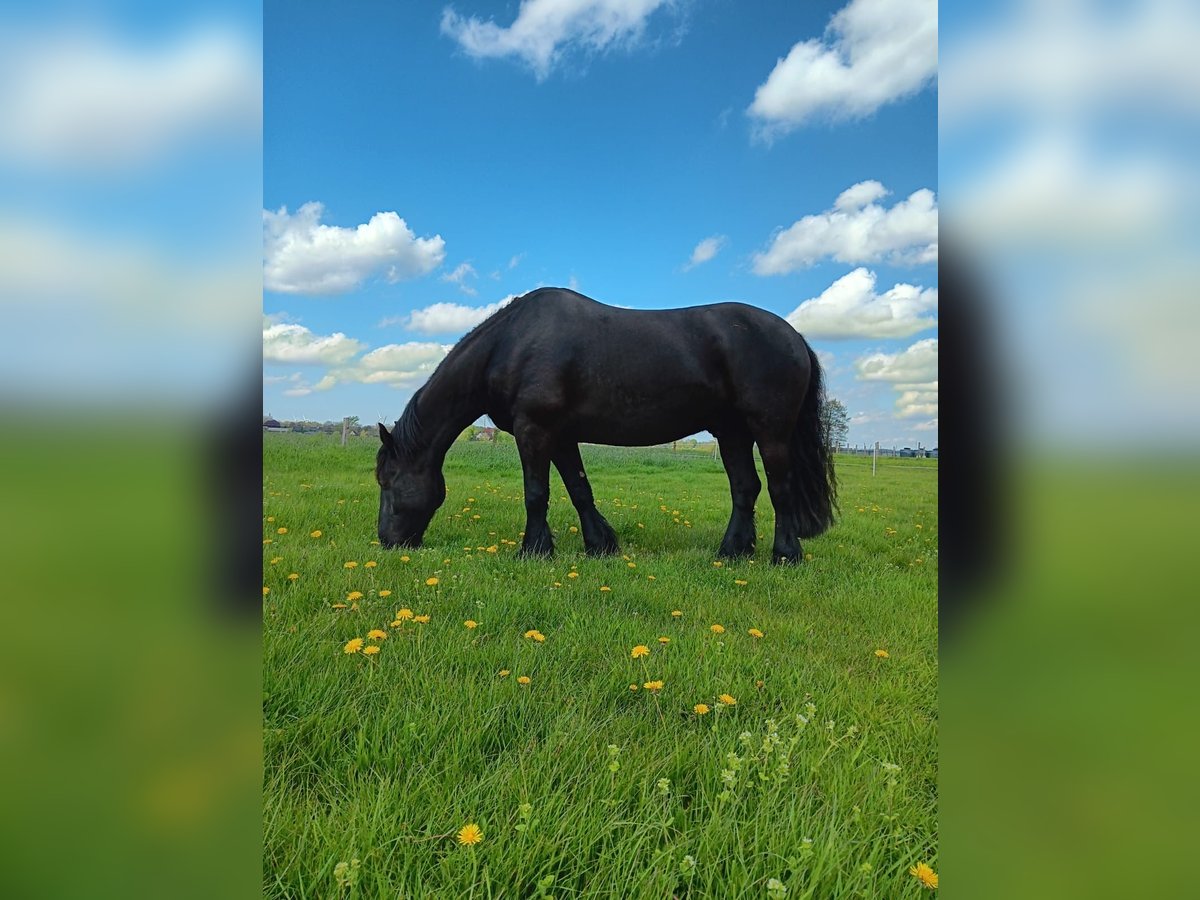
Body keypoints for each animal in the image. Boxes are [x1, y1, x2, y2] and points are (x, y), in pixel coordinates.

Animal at [374, 289, 835, 564]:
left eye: (387, 480)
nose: (388, 542)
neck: (511, 344)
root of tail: (794, 337)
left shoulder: (533, 430)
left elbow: (536, 493)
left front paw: (534, 550)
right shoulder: (560, 436)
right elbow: (580, 489)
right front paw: (600, 545)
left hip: (770, 431)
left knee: (779, 488)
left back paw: (785, 554)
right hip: (732, 433)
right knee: (745, 488)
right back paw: (732, 552)